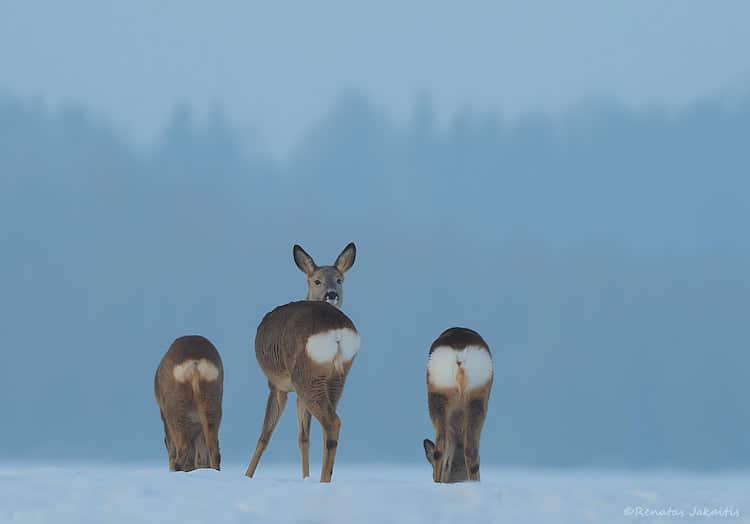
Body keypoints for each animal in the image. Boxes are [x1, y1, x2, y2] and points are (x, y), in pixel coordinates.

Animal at [153, 338, 222, 472]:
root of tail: (195, 363)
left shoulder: (164, 418)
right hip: (212, 405)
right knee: (214, 452)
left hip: (175, 410)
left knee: (182, 451)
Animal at [244, 244, 356, 482]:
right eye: (317, 280)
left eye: (339, 280)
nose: (331, 294)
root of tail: (336, 330)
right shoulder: (297, 392)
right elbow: (303, 437)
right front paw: (305, 477)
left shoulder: (277, 384)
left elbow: (265, 434)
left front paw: (247, 476)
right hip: (337, 376)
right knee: (328, 425)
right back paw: (325, 477)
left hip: (306, 375)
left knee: (332, 421)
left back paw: (324, 480)